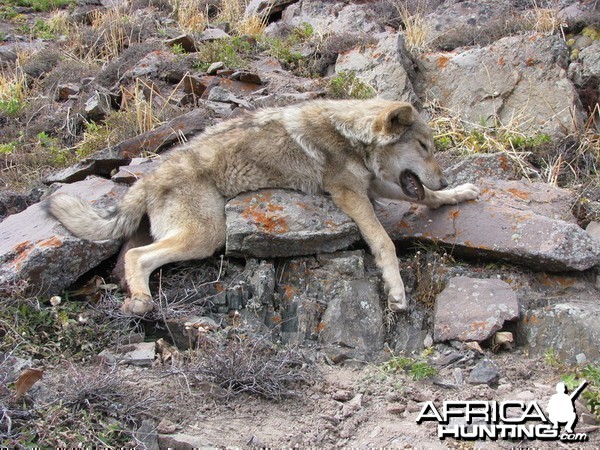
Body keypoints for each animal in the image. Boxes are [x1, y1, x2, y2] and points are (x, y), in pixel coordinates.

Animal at [47, 100, 480, 314]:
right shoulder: (351, 194)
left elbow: (425, 197)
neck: (350, 135)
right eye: (423, 146)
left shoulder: (374, 185)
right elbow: (384, 243)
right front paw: (396, 291)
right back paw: (141, 303)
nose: (443, 178)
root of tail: (148, 179)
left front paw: (456, 193)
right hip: (206, 236)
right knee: (136, 256)